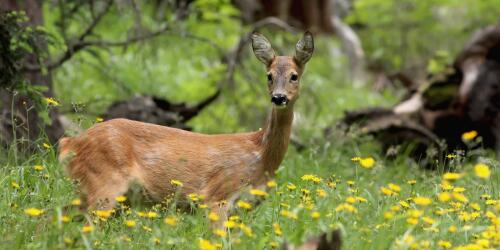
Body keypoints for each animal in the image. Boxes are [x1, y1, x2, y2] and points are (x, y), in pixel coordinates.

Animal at [58, 30, 314, 221]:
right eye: (269, 75)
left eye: (294, 76)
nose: (279, 97)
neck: (260, 154)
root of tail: (70, 143)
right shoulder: (217, 196)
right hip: (104, 182)